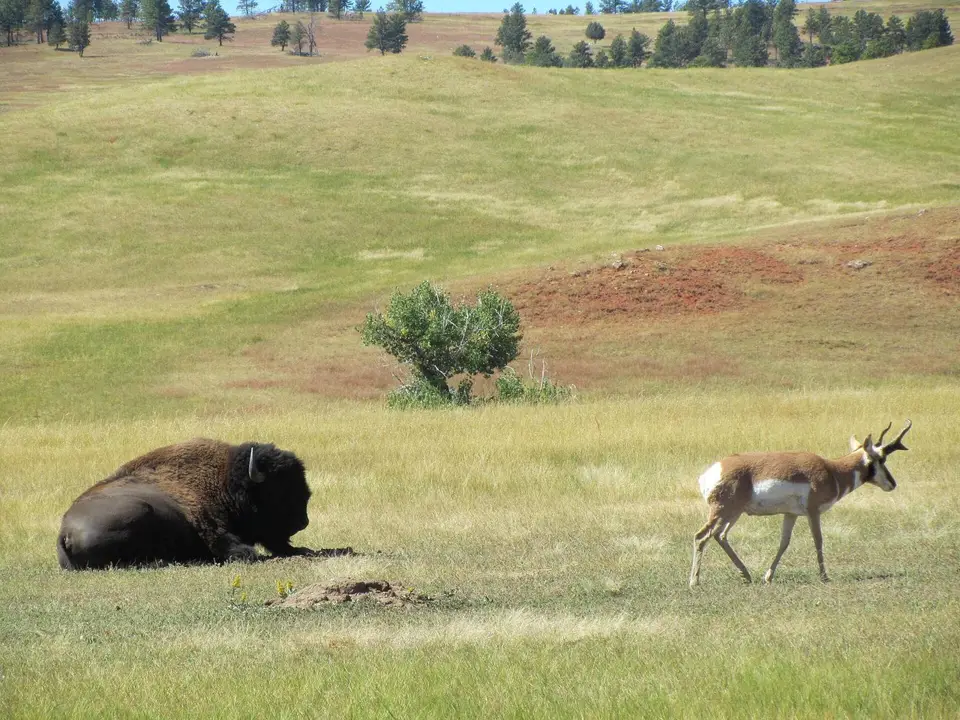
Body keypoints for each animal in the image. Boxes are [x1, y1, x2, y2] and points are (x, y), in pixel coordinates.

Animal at [57, 438, 322, 570]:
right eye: (278, 489)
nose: (303, 522)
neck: (223, 480)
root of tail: (65, 534)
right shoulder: (209, 526)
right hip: (140, 510)